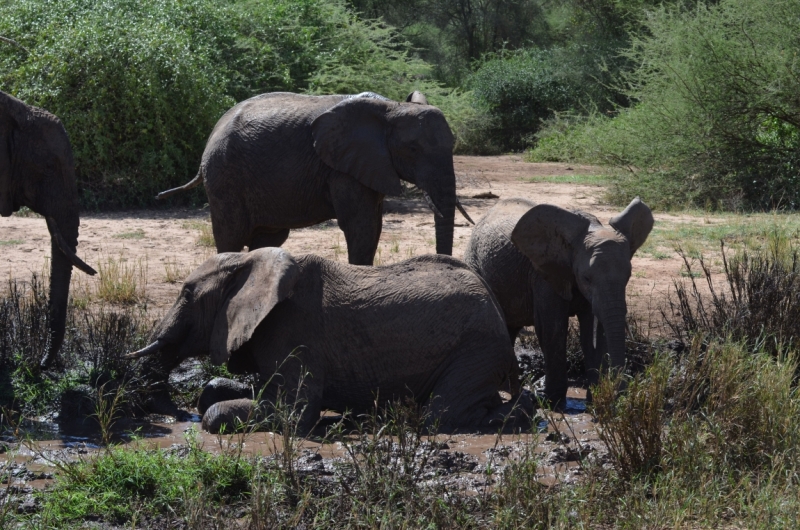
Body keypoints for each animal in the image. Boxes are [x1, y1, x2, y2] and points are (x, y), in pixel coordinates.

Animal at [128, 245, 528, 432]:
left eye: (187, 294)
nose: (177, 416)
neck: (250, 263)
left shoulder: (293, 332)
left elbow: (294, 412)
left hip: (477, 348)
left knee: (442, 414)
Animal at [155, 92, 476, 264]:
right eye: (413, 149)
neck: (393, 108)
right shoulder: (342, 168)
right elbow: (361, 225)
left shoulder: (368, 165)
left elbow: (374, 225)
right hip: (224, 176)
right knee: (231, 236)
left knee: (268, 237)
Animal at [462, 196, 656, 402]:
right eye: (586, 278)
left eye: (628, 276)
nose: (621, 393)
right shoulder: (543, 275)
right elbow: (552, 328)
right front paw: (551, 400)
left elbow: (591, 331)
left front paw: (594, 398)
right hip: (475, 263)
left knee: (510, 327)